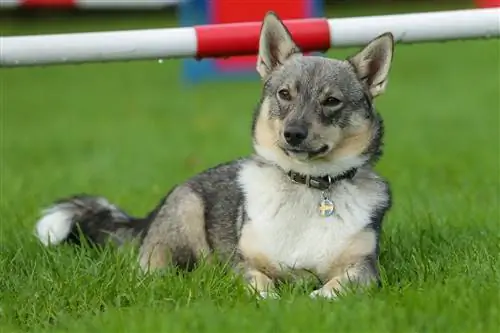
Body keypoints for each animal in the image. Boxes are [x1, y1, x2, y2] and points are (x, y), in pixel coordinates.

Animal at [34, 12, 394, 298]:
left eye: (331, 101)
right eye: (284, 94)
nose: (293, 134)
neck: (307, 187)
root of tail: (153, 211)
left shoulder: (365, 270)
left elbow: (334, 288)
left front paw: (317, 297)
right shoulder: (243, 264)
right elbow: (261, 284)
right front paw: (273, 299)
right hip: (186, 217)